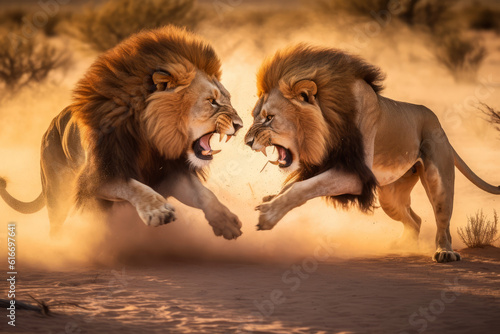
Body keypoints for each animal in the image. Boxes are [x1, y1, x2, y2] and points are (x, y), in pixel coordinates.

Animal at [0, 26, 244, 240]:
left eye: (227, 99)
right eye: (211, 101)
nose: (240, 124)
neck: (150, 138)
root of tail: (48, 128)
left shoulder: (170, 172)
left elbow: (204, 194)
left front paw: (226, 221)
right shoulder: (96, 176)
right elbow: (133, 185)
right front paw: (158, 211)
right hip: (58, 195)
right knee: (58, 225)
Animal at [245, 44, 500, 262]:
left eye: (269, 118)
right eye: (255, 116)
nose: (247, 142)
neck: (328, 121)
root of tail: (439, 125)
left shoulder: (356, 174)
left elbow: (303, 187)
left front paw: (268, 214)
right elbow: (294, 184)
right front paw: (269, 199)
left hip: (439, 179)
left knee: (443, 221)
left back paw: (444, 252)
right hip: (391, 197)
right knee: (415, 220)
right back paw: (402, 245)